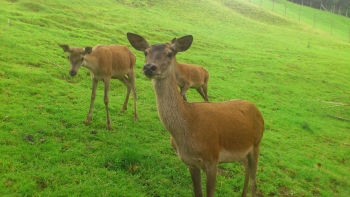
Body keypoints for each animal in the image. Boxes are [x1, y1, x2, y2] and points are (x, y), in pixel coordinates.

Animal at [127, 32, 264, 197]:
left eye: (170, 53)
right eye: (146, 52)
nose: (149, 67)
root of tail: (257, 110)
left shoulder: (212, 160)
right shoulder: (190, 163)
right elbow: (197, 192)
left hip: (256, 144)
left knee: (254, 181)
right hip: (241, 153)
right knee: (247, 168)